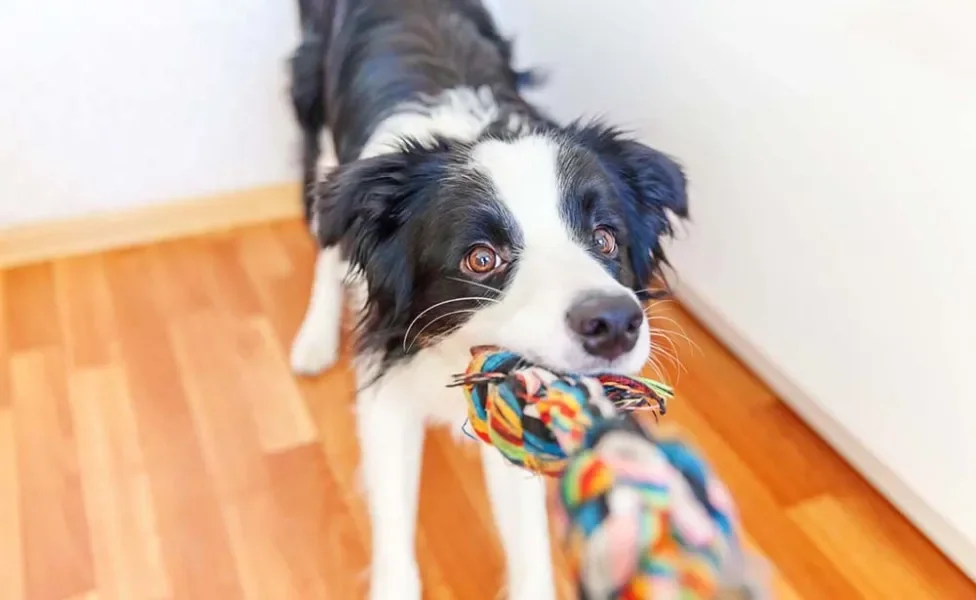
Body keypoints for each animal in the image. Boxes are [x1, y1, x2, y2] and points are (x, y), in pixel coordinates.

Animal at [286, 2, 692, 596]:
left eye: (605, 238)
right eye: (482, 258)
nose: (616, 323)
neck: (454, 352)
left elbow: (527, 542)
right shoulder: (388, 388)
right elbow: (394, 519)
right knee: (325, 240)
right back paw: (314, 338)